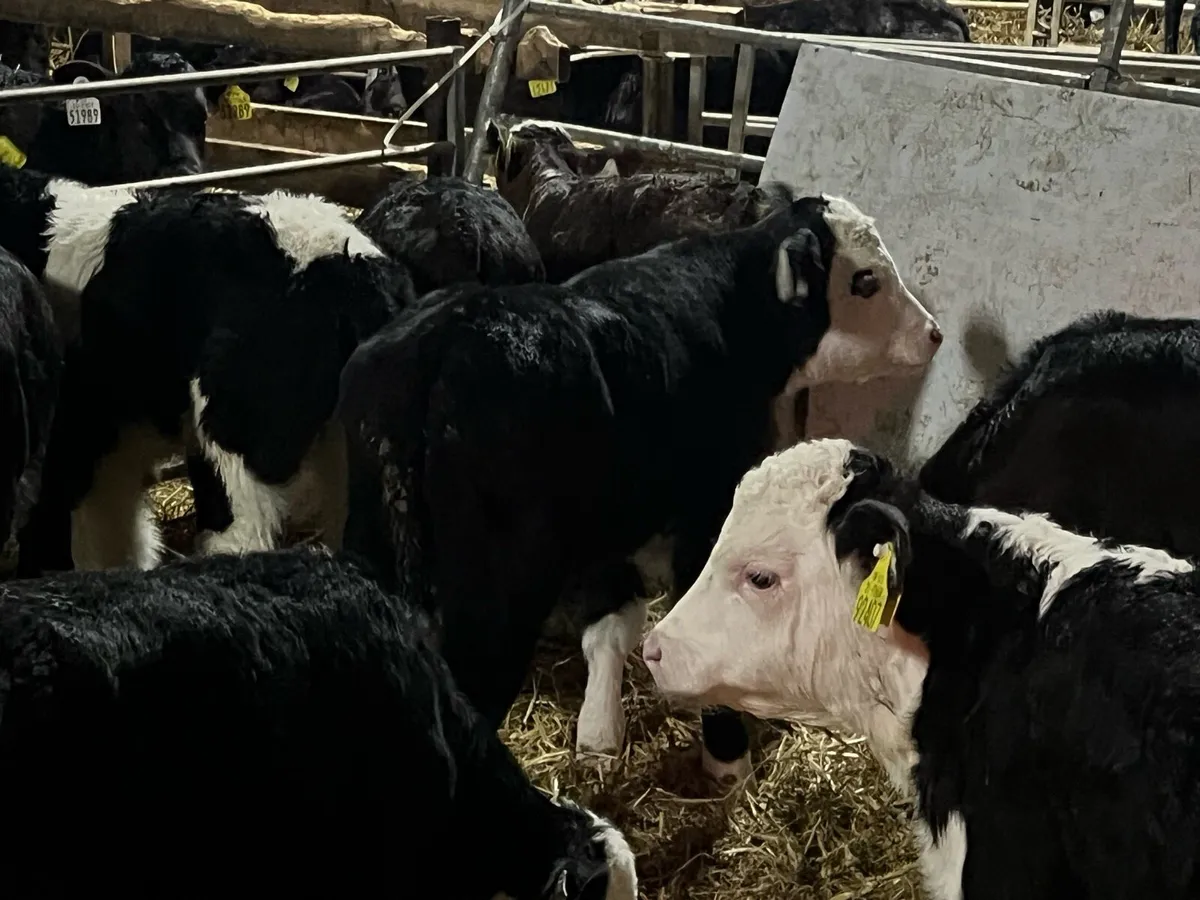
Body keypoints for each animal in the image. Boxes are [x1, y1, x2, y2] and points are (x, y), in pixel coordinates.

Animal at [337, 193, 941, 784]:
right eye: (865, 280)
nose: (934, 333)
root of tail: (445, 339)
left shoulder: (608, 533)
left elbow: (611, 625)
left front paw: (599, 732)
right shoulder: (705, 510)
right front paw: (727, 755)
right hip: (500, 598)